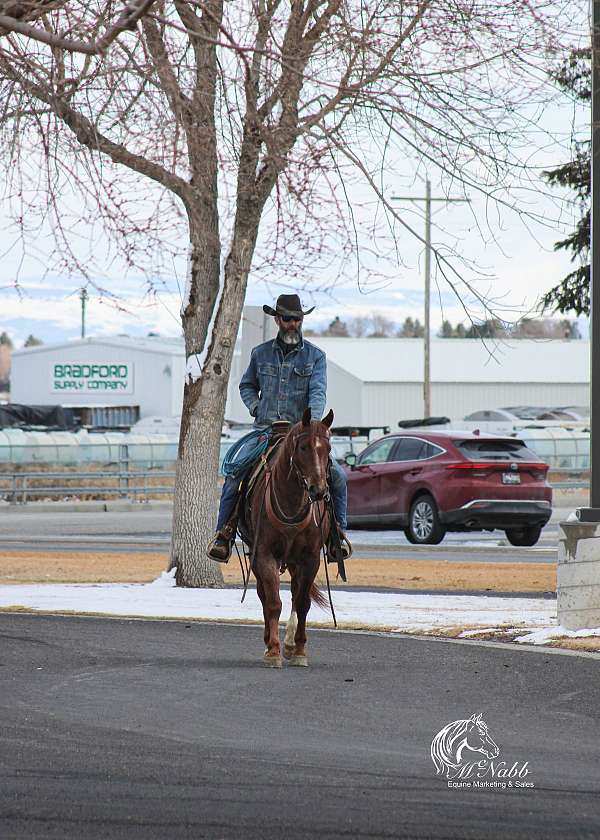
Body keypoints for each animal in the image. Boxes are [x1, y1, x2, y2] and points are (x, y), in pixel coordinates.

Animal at [245, 408, 338, 668]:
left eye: (328, 448)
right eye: (303, 447)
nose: (319, 490)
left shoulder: (310, 559)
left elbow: (303, 602)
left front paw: (299, 651)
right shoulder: (264, 554)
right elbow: (273, 601)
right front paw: (273, 651)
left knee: (296, 595)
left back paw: (289, 643)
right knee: (264, 595)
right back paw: (271, 642)